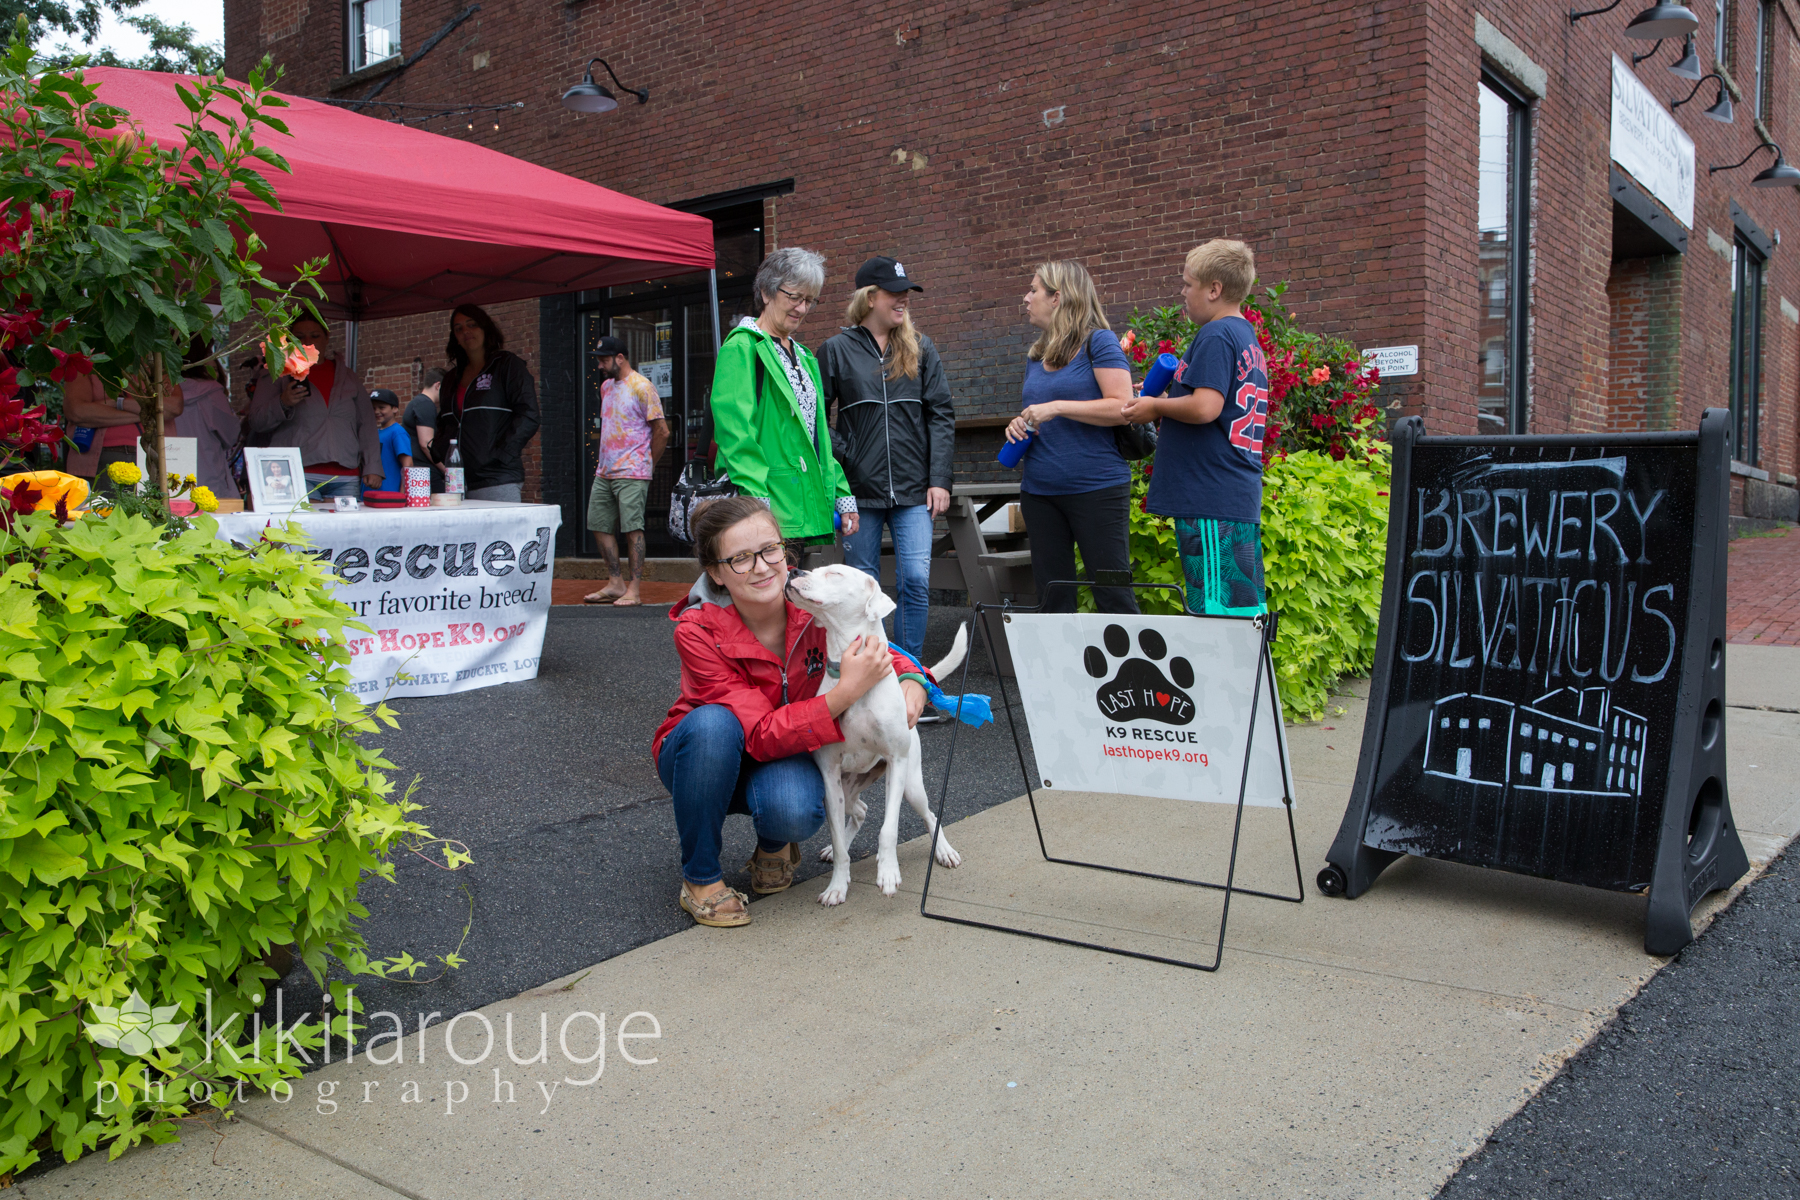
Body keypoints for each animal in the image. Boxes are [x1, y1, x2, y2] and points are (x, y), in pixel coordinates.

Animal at [781, 568, 964, 906]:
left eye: (835, 572)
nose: (794, 571)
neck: (852, 671)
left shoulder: (896, 762)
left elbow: (888, 830)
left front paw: (888, 873)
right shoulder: (829, 776)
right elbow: (839, 840)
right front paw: (837, 885)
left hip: (911, 784)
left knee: (930, 814)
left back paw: (944, 851)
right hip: (844, 790)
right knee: (860, 812)